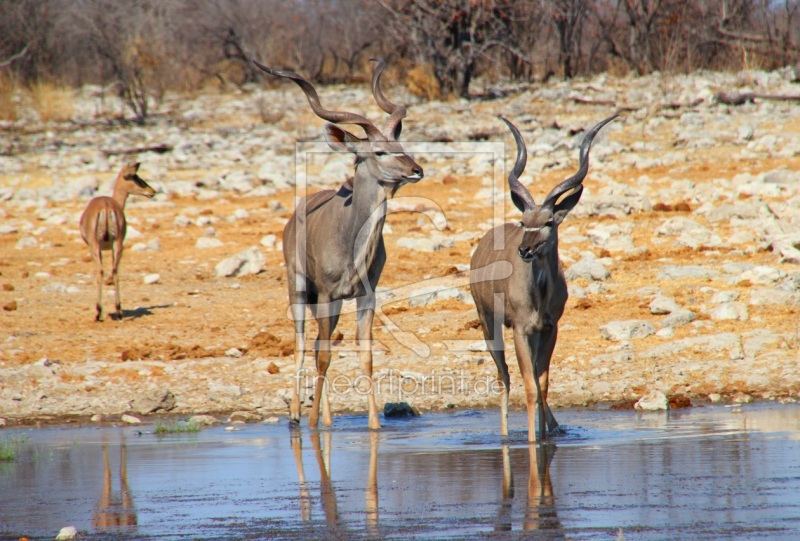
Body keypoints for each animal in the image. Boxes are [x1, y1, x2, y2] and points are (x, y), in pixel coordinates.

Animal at [79, 162, 156, 318]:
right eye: (135, 177)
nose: (152, 191)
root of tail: (106, 206)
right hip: (118, 244)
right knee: (115, 271)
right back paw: (118, 310)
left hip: (96, 247)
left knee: (101, 272)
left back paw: (99, 313)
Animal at [255, 58, 424, 430]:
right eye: (379, 151)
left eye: (401, 145)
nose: (416, 170)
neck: (352, 243)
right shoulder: (329, 294)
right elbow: (322, 354)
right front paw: (312, 421)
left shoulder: (365, 296)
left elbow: (365, 354)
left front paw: (373, 424)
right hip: (299, 289)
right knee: (305, 344)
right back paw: (297, 415)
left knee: (321, 343)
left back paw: (327, 417)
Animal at [472, 114, 616, 438]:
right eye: (524, 221)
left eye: (549, 221)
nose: (525, 249)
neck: (539, 294)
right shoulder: (520, 330)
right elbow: (528, 386)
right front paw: (531, 440)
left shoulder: (549, 328)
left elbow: (543, 384)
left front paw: (544, 437)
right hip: (489, 324)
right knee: (503, 376)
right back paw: (504, 435)